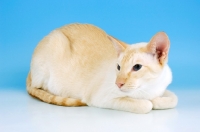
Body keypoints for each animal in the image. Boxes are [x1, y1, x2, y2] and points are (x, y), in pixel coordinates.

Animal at [25, 23, 177, 113]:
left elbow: (173, 99)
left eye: (137, 67)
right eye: (118, 67)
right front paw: (150, 101)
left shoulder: (163, 89)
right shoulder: (101, 98)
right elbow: (145, 105)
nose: (118, 83)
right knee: (39, 88)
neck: (148, 87)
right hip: (55, 44)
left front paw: (157, 100)